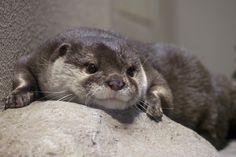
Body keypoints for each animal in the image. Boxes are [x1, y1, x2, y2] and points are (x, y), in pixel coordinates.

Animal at [1, 27, 236, 150]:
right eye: (91, 67)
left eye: (130, 71)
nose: (116, 82)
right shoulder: (36, 56)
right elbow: (21, 72)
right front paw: (17, 97)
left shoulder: (150, 68)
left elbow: (165, 91)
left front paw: (152, 104)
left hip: (214, 110)